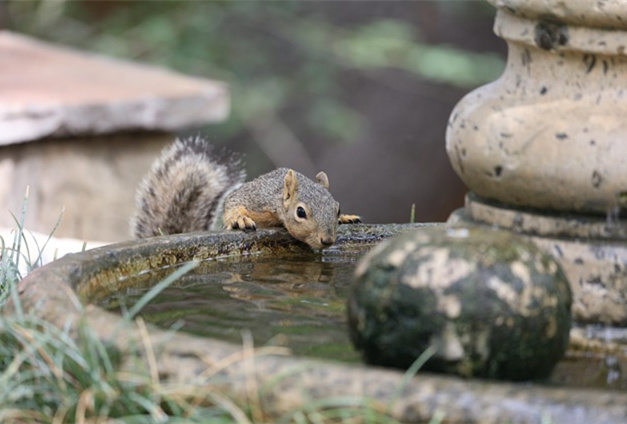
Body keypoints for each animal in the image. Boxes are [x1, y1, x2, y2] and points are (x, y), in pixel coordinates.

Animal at [130, 135, 360, 248]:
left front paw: (347, 218)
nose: (327, 241)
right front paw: (238, 219)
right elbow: (233, 200)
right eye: (300, 212)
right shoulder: (258, 198)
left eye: (337, 209)